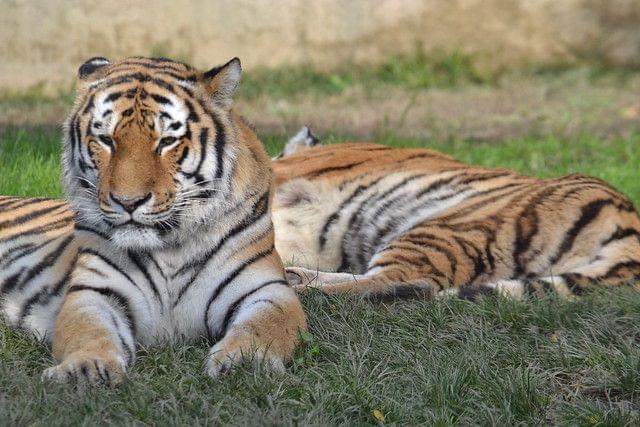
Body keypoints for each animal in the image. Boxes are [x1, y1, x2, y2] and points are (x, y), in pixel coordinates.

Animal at [0, 55, 308, 386]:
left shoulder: (267, 290)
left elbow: (264, 328)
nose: (128, 202)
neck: (170, 248)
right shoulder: (95, 293)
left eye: (167, 141)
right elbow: (88, 333)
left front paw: (246, 362)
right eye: (106, 140)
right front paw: (84, 369)